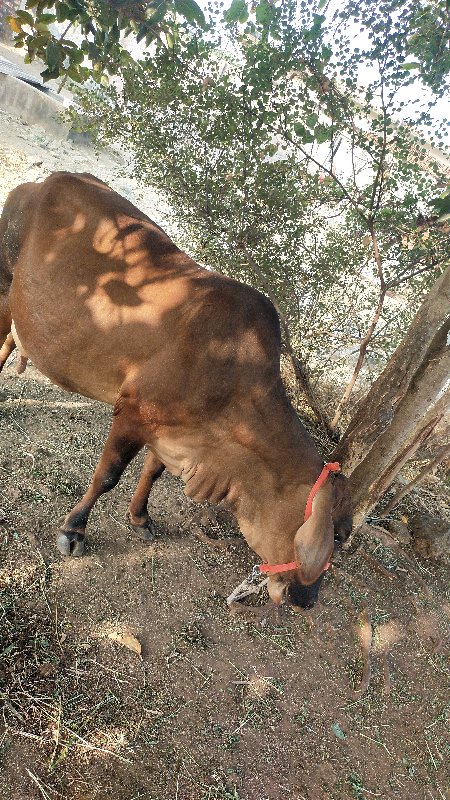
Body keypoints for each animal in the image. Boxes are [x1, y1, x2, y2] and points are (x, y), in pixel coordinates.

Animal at [0, 175, 352, 608]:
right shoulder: (132, 413)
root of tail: (41, 183)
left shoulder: (172, 434)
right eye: (336, 533)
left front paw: (140, 517)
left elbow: (152, 470)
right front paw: (74, 531)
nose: (306, 600)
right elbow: (108, 476)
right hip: (3, 282)